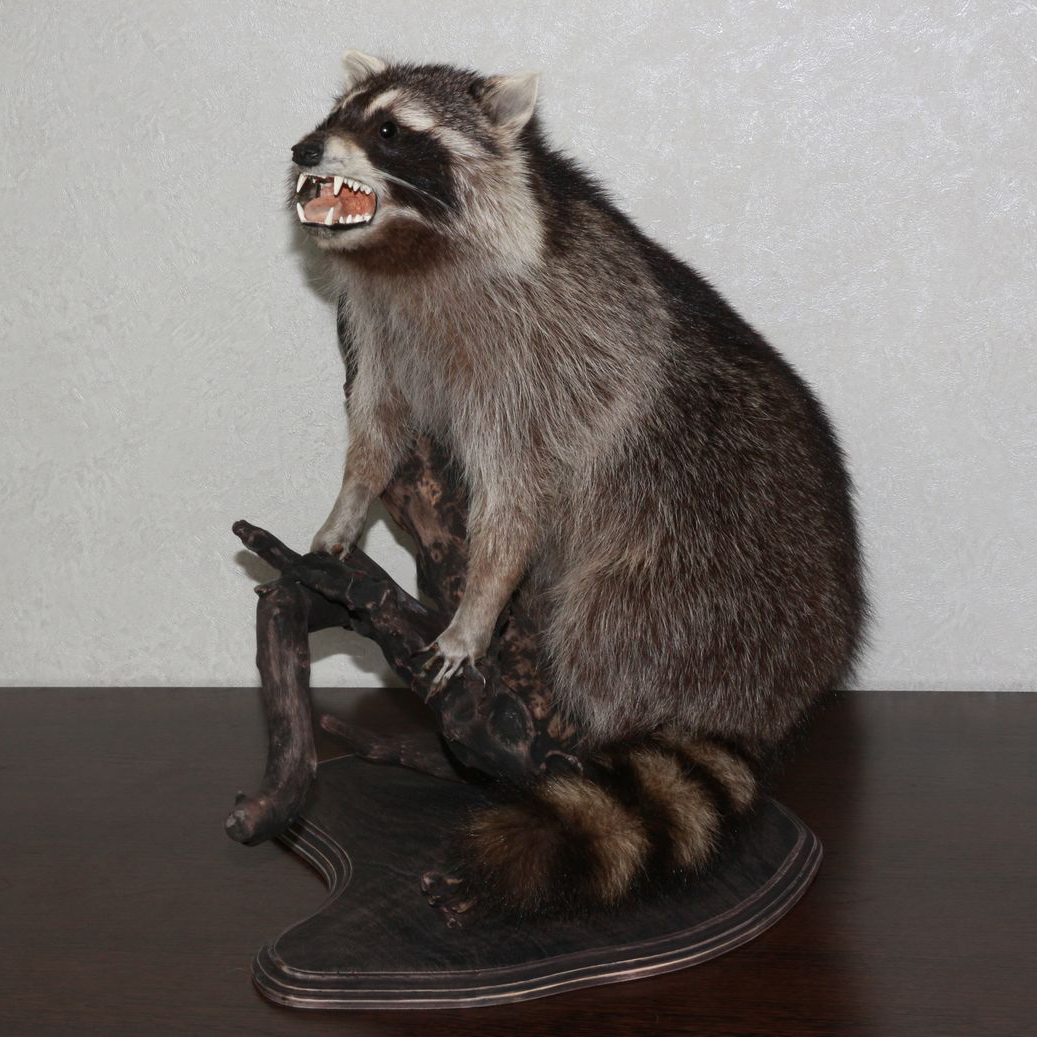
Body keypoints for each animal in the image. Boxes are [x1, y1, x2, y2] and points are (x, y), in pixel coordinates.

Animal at [292, 51, 866, 915]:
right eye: (338, 110)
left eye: (389, 130)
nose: (303, 148)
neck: (409, 255)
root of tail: (768, 701)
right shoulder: (386, 337)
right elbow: (377, 436)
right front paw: (343, 512)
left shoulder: (535, 364)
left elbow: (515, 500)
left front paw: (476, 609)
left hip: (698, 583)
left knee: (602, 628)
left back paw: (583, 731)